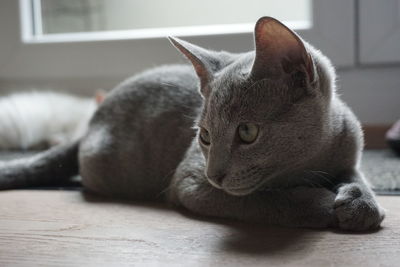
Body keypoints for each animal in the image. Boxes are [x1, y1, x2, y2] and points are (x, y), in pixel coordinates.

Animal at [0, 16, 382, 231]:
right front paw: (322, 204)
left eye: (247, 132)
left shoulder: (349, 154)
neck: (308, 163)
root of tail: (91, 120)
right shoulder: (191, 182)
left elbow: (356, 176)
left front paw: (361, 203)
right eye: (206, 137)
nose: (216, 174)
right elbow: (269, 200)